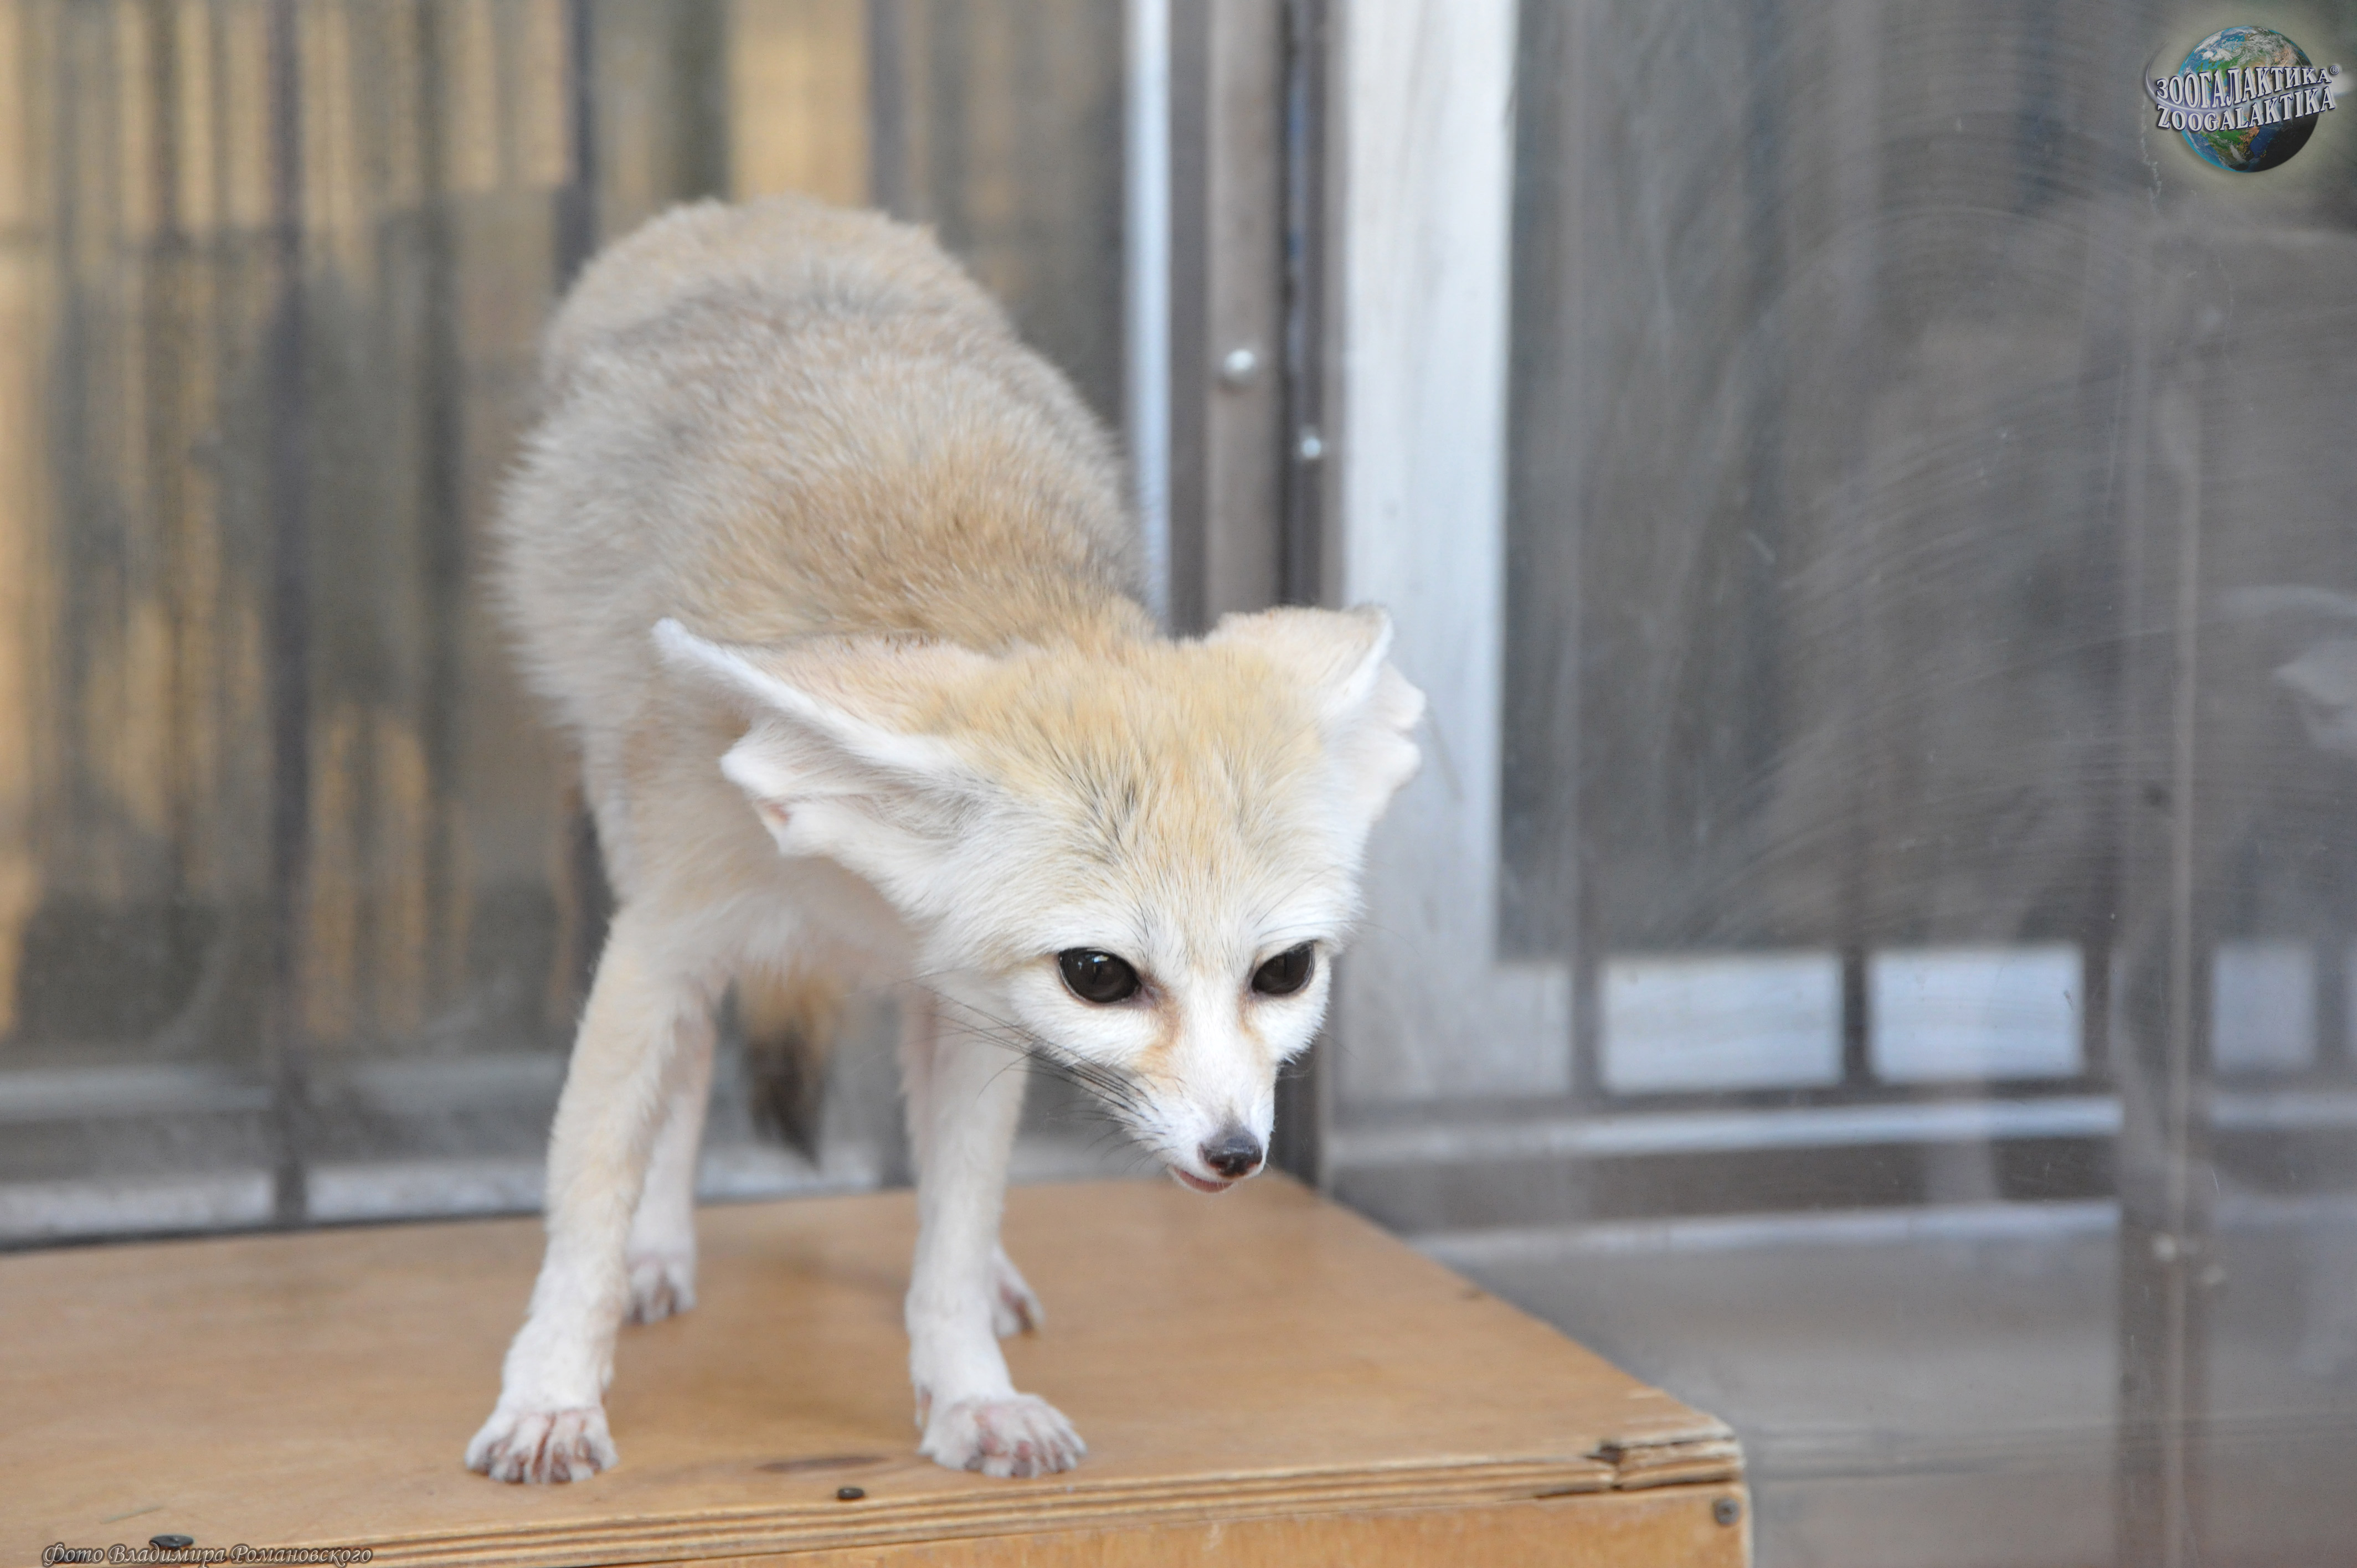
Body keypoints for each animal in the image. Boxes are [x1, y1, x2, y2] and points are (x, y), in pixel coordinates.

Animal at [466, 195, 1423, 1484]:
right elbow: (590, 1191)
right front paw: (554, 1389)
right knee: (695, 1063)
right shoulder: (663, 941)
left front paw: (971, 1391)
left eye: (1284, 972)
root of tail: (761, 212)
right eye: (1102, 975)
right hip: (637, 869)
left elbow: (957, 1224)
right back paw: (658, 1251)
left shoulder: (970, 1004)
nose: (1236, 1154)